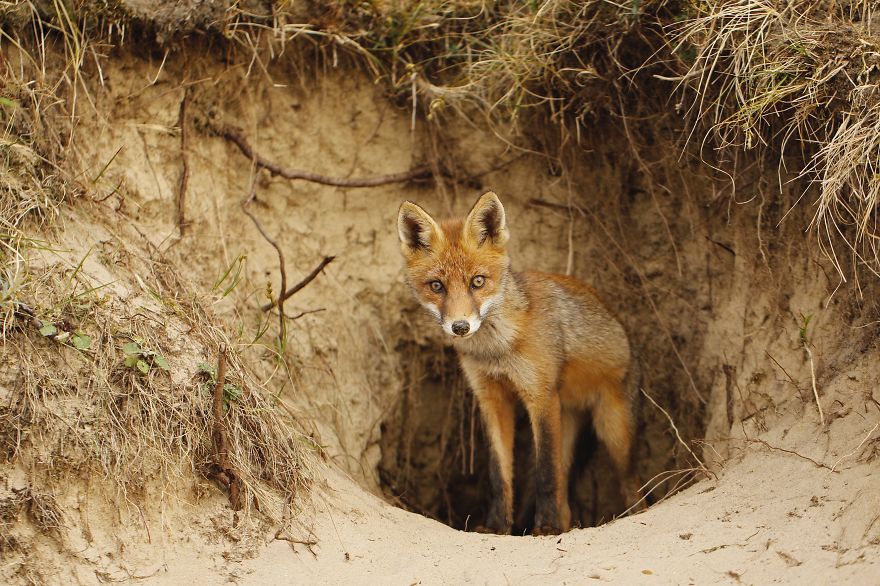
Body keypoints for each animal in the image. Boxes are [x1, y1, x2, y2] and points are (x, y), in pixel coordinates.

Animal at [397, 191, 642, 535]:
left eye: (477, 282)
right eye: (436, 286)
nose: (460, 327)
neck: (497, 349)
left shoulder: (540, 396)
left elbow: (545, 473)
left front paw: (546, 527)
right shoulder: (491, 398)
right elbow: (499, 474)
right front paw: (496, 526)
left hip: (614, 431)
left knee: (630, 484)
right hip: (569, 421)